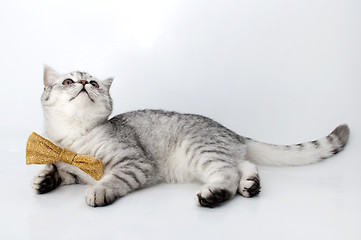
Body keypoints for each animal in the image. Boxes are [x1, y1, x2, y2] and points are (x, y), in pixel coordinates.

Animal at [33, 66, 348, 208]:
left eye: (95, 83)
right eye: (68, 81)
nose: (84, 83)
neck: (75, 138)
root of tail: (231, 132)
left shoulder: (134, 162)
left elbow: (112, 179)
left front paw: (99, 191)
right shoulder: (73, 170)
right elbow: (62, 170)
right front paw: (45, 178)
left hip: (200, 150)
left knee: (227, 174)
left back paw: (215, 194)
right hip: (216, 153)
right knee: (243, 165)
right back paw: (251, 184)